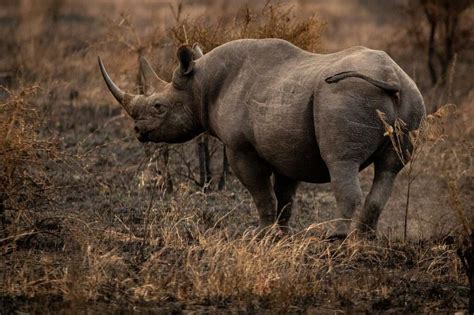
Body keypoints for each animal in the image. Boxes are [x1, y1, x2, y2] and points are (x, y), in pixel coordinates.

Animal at [99, 39, 426, 237]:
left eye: (158, 107)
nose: (138, 132)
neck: (200, 85)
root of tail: (391, 77)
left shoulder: (240, 147)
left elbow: (261, 192)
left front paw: (260, 234)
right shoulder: (286, 146)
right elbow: (285, 195)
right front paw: (281, 234)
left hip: (344, 96)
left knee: (341, 162)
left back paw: (334, 239)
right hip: (411, 95)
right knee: (389, 169)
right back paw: (364, 239)